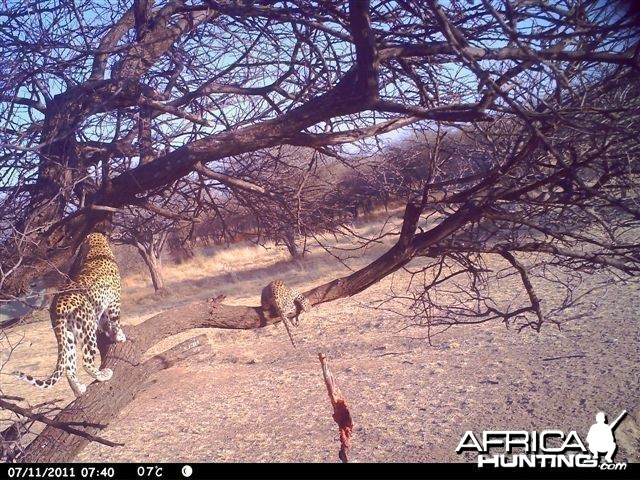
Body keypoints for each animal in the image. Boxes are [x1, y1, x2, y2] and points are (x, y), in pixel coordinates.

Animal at [12, 231, 126, 396]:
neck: (97, 248)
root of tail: (58, 306)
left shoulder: (102, 305)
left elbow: (105, 322)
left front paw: (111, 334)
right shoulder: (114, 302)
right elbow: (115, 321)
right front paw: (119, 336)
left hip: (68, 335)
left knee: (68, 367)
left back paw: (79, 390)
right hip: (87, 328)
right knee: (86, 361)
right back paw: (103, 375)